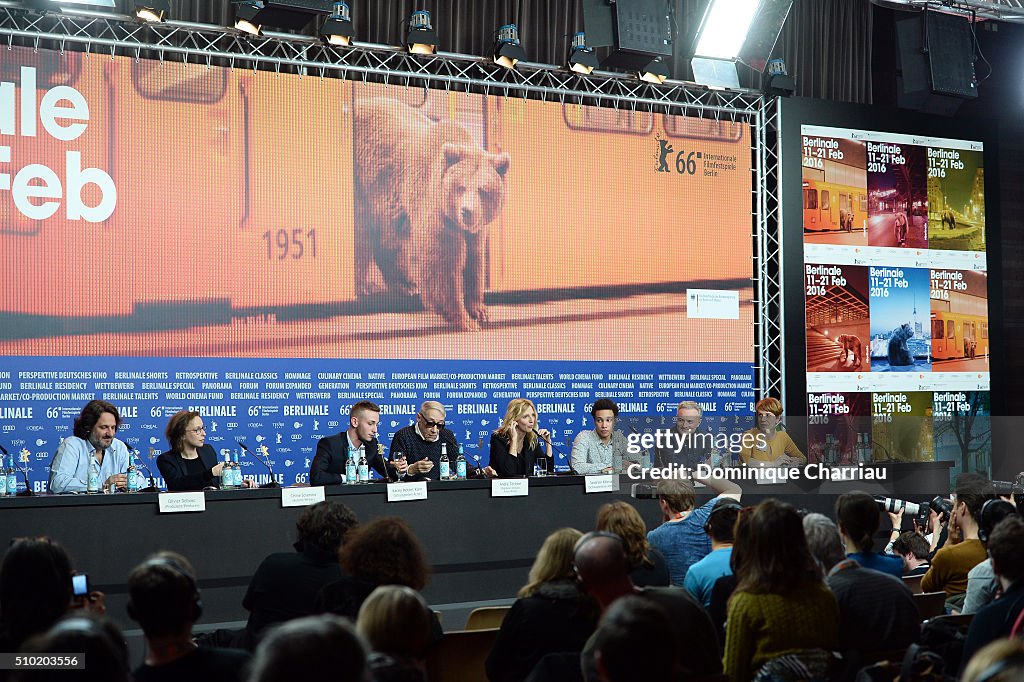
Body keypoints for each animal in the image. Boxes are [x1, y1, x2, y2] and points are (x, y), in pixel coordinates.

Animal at [354, 96, 509, 329]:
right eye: (461, 187)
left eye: (483, 189)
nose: (467, 211)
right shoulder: (434, 206)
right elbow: (442, 260)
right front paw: (462, 318)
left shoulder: (476, 228)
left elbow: (474, 259)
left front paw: (479, 309)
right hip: (363, 183)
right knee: (362, 234)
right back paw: (366, 285)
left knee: (388, 240)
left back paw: (406, 285)